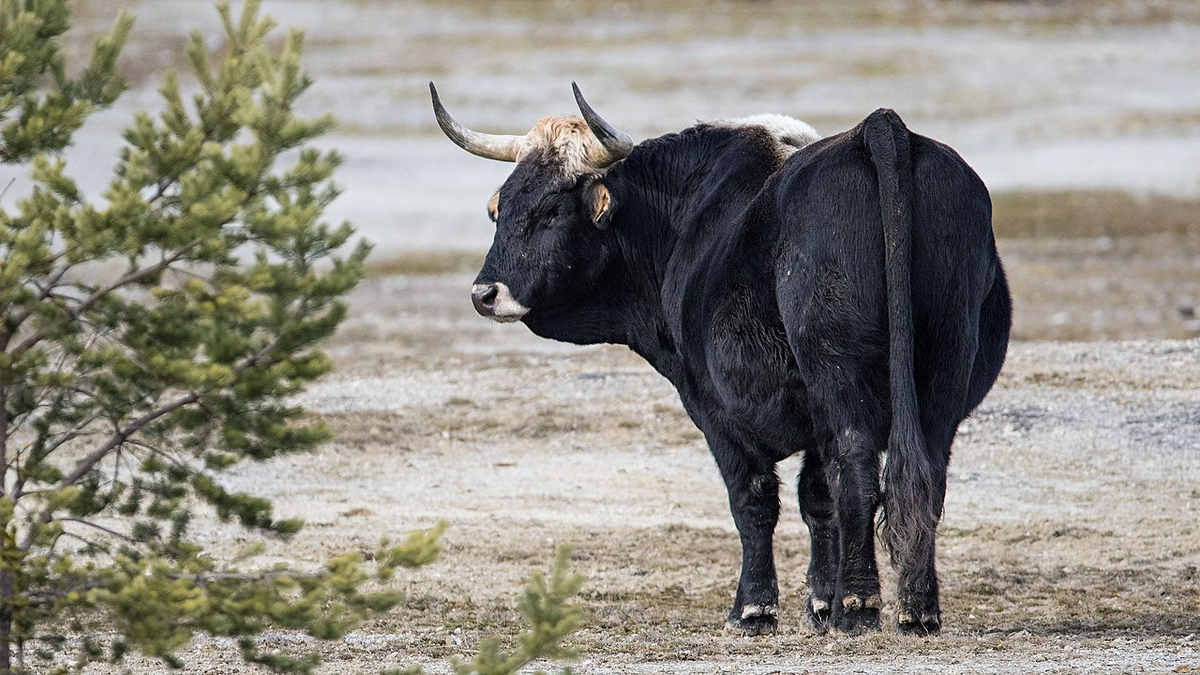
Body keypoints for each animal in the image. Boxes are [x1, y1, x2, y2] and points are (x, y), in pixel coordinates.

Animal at [432, 90, 1012, 634]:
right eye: (499, 208)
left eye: (552, 211)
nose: (485, 294)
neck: (686, 220)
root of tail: (881, 131)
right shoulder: (814, 418)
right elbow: (816, 498)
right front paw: (818, 604)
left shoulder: (712, 406)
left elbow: (753, 499)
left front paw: (754, 609)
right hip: (944, 370)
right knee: (923, 474)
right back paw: (917, 607)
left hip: (840, 375)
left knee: (859, 469)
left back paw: (860, 605)